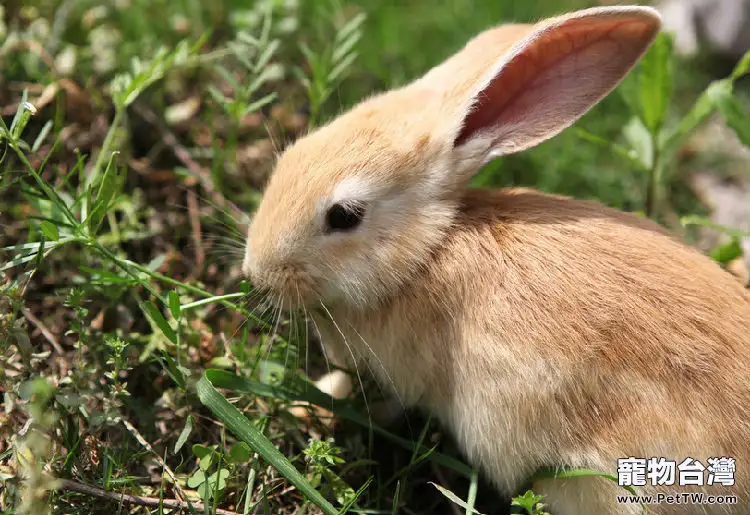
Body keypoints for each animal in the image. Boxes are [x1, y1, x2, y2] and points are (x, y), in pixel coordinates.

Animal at [242, 5, 750, 515]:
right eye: (292, 153)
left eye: (344, 216)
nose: (256, 271)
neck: (425, 253)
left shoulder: (403, 375)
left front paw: (306, 405)